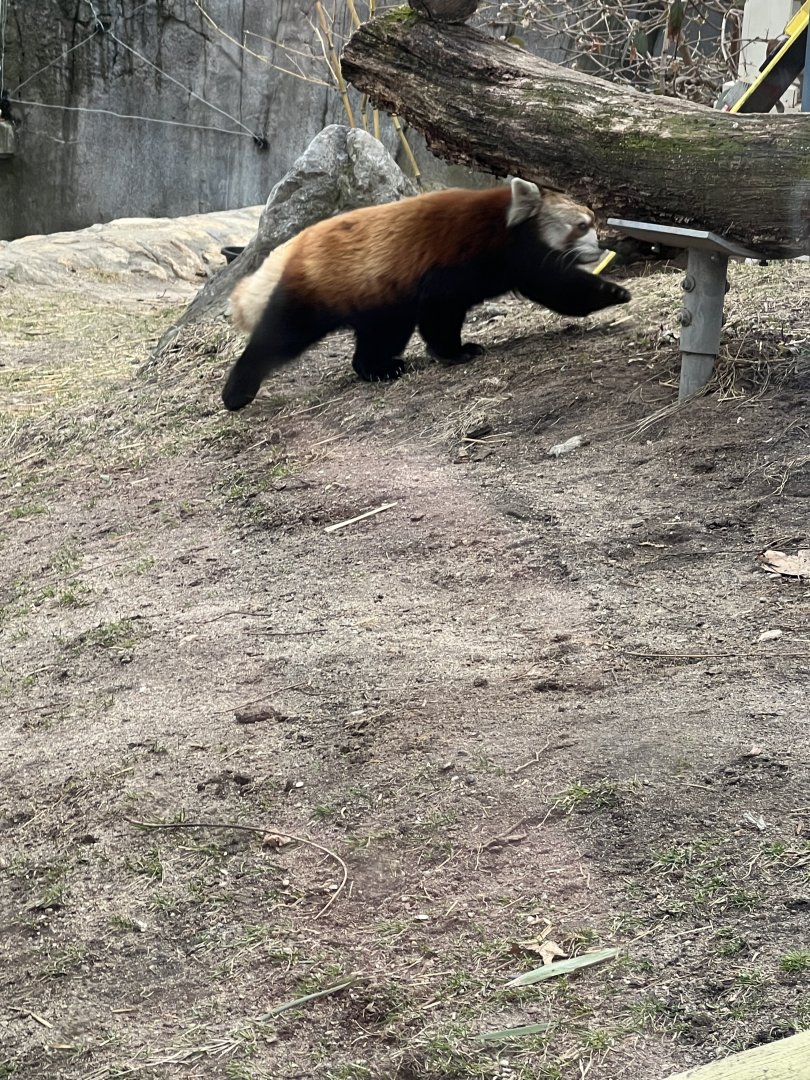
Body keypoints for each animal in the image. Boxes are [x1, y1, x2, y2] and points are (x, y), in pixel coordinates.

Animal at [222, 178, 631, 411]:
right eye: (582, 226)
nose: (601, 246)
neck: (503, 226)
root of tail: (296, 244)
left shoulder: (525, 265)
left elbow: (560, 290)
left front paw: (612, 291)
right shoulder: (460, 260)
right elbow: (440, 309)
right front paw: (455, 352)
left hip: (379, 296)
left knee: (381, 333)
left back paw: (379, 368)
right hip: (320, 290)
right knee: (279, 336)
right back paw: (236, 393)